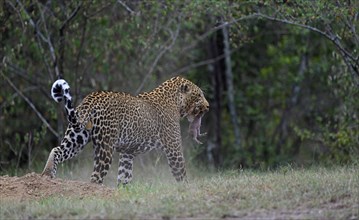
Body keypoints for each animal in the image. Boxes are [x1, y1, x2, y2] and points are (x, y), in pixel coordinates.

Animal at [41, 76, 211, 185]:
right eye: (199, 95)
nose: (208, 106)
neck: (175, 102)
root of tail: (91, 98)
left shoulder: (127, 153)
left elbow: (124, 175)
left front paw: (123, 191)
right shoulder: (173, 148)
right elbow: (181, 173)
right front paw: (187, 190)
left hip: (76, 138)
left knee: (56, 149)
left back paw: (47, 175)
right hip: (105, 148)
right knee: (95, 177)